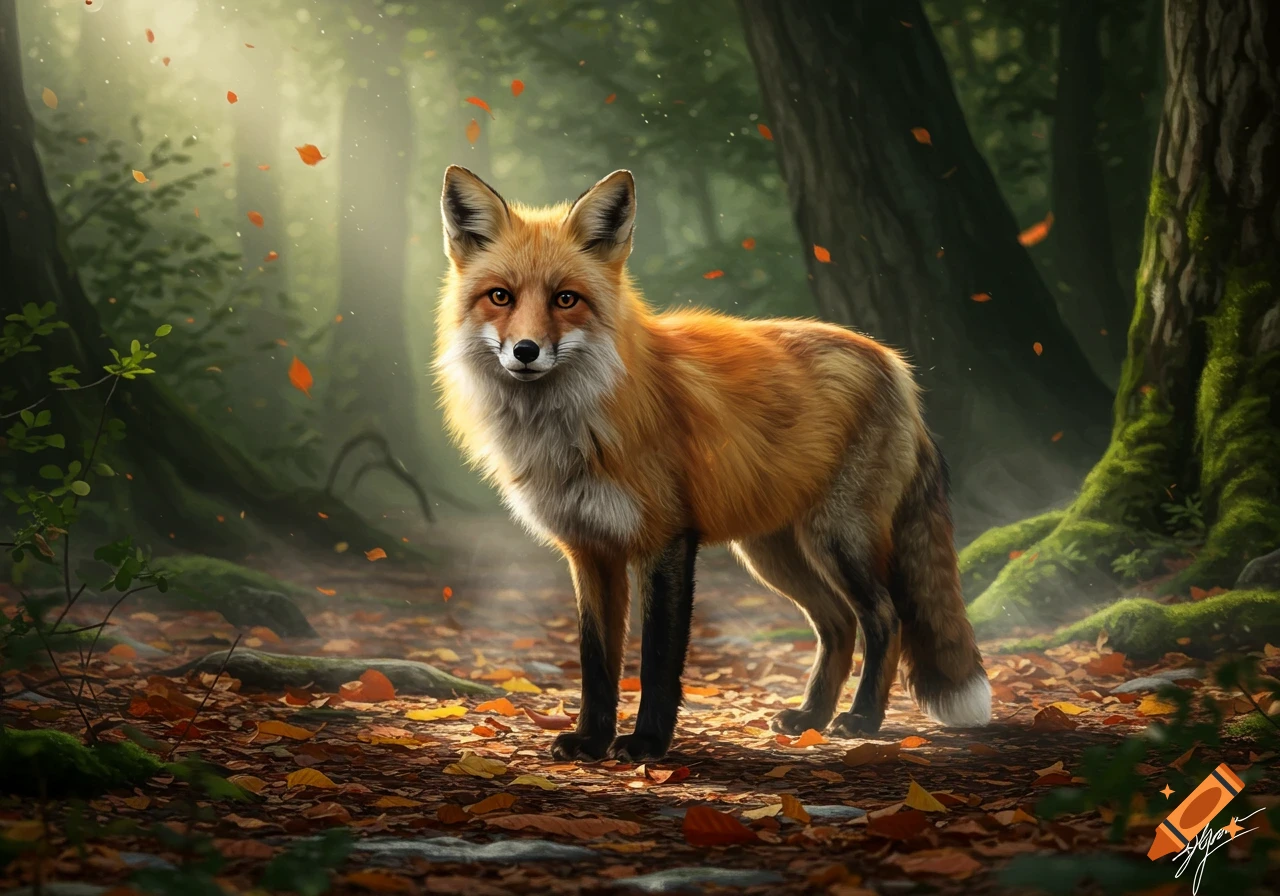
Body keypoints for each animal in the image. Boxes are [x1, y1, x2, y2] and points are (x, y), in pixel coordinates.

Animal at [434, 166, 991, 762]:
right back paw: (811, 716)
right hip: (772, 552)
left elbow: (657, 659)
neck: (573, 427)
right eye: (500, 297)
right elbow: (596, 661)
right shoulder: (589, 550)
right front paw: (591, 740)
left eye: (566, 299)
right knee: (838, 624)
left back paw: (861, 718)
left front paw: (647, 742)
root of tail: (896, 366)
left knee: (885, 617)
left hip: (838, 538)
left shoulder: (666, 539)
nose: (526, 351)